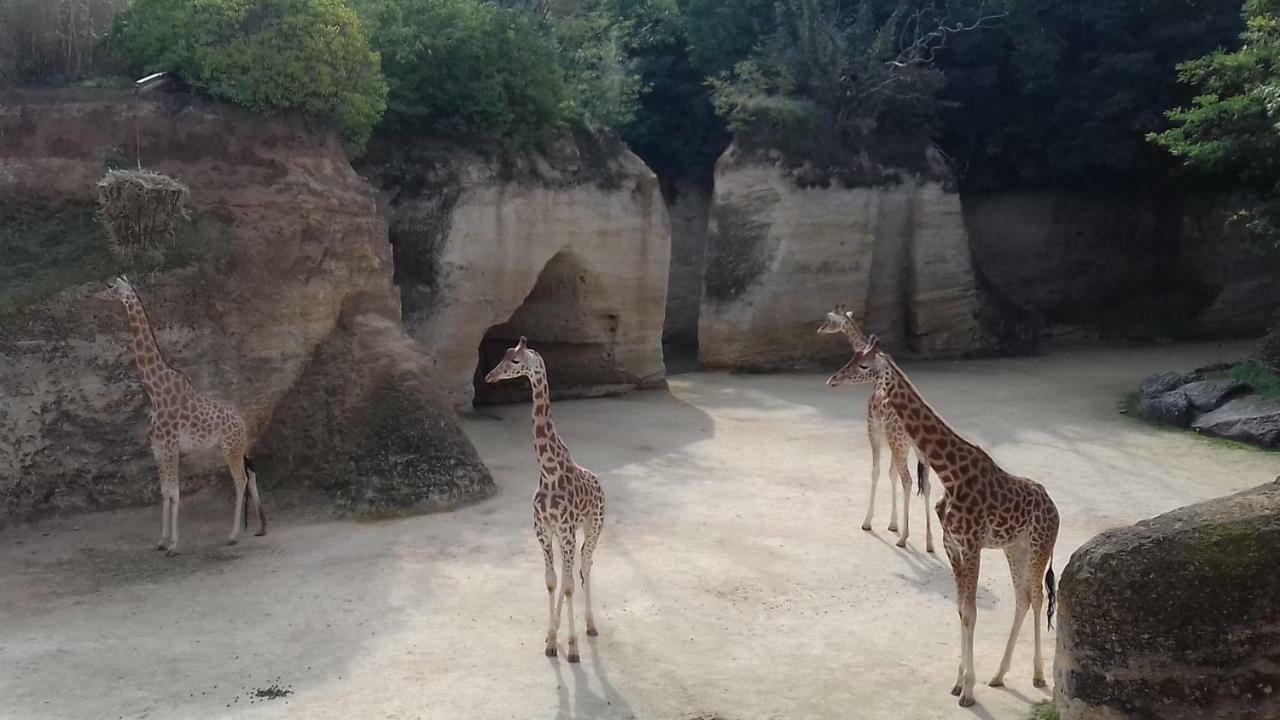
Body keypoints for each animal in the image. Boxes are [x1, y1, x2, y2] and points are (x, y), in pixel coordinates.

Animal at [106, 274, 266, 556]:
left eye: (112, 286)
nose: (105, 293)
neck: (155, 391)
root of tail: (241, 420)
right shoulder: (157, 447)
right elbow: (164, 492)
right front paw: (162, 541)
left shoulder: (171, 445)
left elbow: (175, 492)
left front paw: (174, 544)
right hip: (233, 447)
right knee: (251, 472)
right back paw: (259, 527)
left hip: (230, 448)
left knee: (241, 480)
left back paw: (233, 535)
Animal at [483, 335, 604, 661]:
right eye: (502, 356)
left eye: (515, 361)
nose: (489, 376)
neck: (549, 471)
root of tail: (599, 482)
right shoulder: (543, 530)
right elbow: (552, 582)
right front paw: (551, 640)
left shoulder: (566, 530)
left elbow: (570, 585)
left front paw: (572, 648)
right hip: (568, 535)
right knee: (568, 573)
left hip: (593, 526)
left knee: (585, 566)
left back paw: (590, 626)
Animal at [819, 302, 942, 548]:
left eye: (829, 320)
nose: (819, 330)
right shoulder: (894, 442)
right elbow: (891, 473)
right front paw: (893, 524)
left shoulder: (875, 430)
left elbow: (876, 472)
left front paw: (868, 522)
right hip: (918, 452)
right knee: (926, 484)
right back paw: (929, 542)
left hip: (900, 444)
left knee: (908, 480)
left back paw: (904, 539)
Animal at [829, 333, 1059, 702]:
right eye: (850, 359)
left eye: (863, 365)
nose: (833, 379)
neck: (951, 475)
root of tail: (1055, 508)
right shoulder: (953, 545)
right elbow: (962, 610)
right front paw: (959, 682)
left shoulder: (972, 546)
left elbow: (972, 612)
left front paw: (968, 691)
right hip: (1015, 548)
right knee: (1023, 598)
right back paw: (998, 675)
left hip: (1040, 547)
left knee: (1037, 597)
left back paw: (1037, 675)